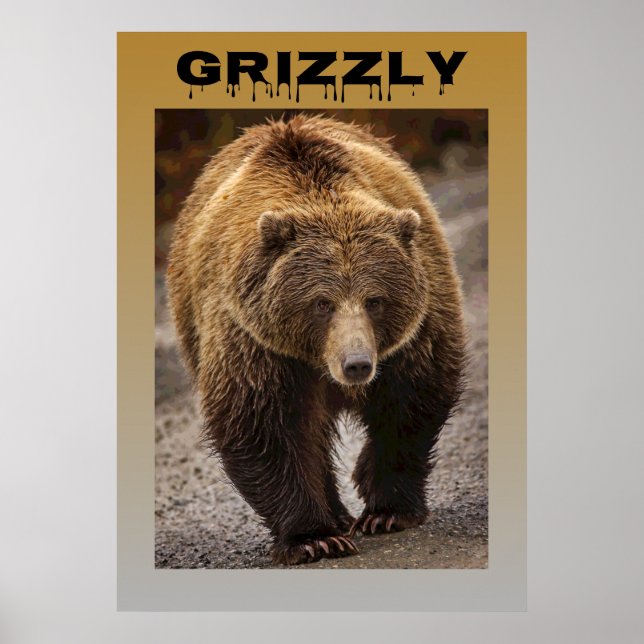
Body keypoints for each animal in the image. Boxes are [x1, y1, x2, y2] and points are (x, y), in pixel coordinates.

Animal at [166, 113, 466, 565]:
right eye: (322, 303)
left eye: (375, 300)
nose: (356, 364)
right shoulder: (253, 339)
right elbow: (260, 424)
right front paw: (314, 537)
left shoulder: (417, 324)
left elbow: (413, 399)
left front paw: (386, 510)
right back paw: (336, 516)